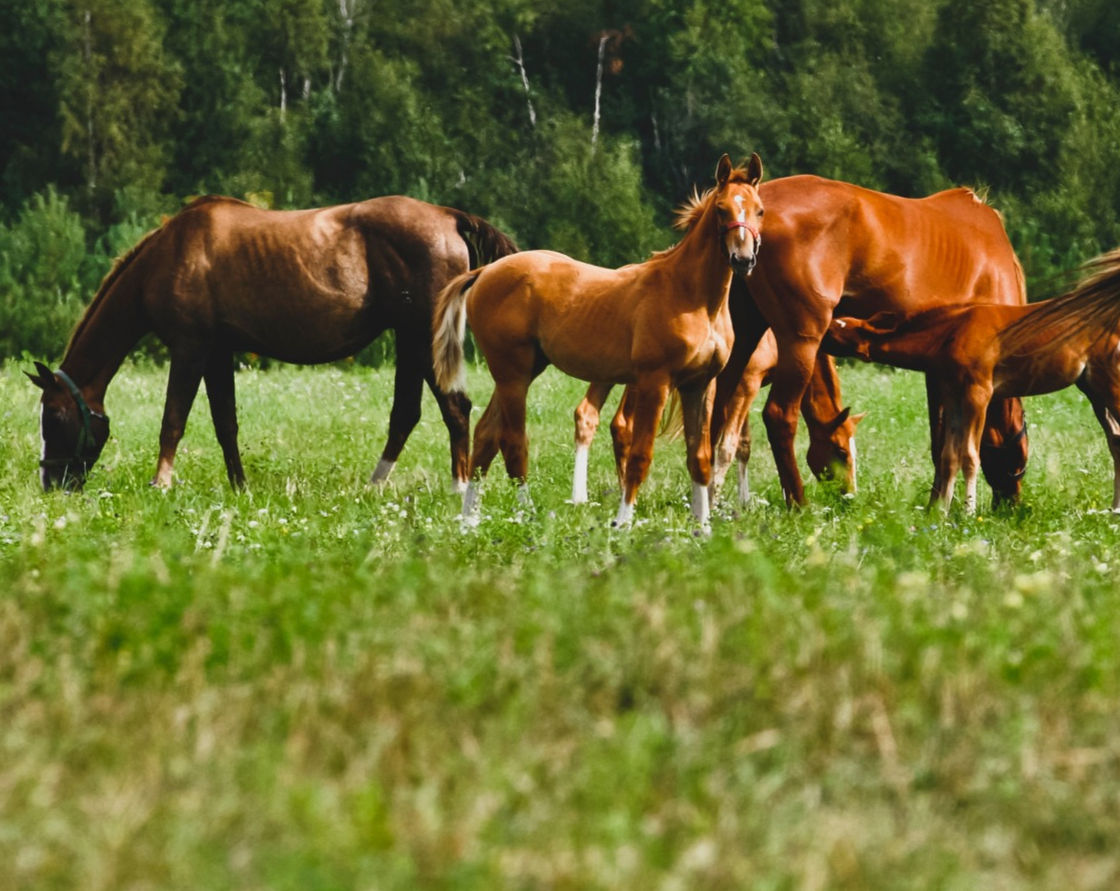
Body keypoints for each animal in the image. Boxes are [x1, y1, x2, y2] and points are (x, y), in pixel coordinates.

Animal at [25, 195, 517, 493]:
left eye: (55, 416)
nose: (52, 484)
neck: (171, 254)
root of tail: (449, 216)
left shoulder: (190, 348)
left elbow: (173, 420)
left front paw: (160, 483)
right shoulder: (218, 352)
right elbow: (225, 424)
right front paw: (239, 487)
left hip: (421, 338)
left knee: (454, 408)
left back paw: (458, 487)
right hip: (408, 339)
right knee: (407, 414)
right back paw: (375, 486)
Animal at [432, 153, 764, 527]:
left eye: (759, 210)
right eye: (722, 209)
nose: (743, 260)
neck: (691, 296)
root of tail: (485, 272)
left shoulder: (699, 385)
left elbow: (700, 458)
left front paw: (703, 527)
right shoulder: (656, 382)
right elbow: (640, 455)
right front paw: (623, 522)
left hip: (523, 370)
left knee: (486, 435)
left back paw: (469, 520)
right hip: (512, 374)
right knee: (513, 442)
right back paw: (525, 515)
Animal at [708, 176, 1031, 508]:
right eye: (1019, 457)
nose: (1011, 505)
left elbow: (940, 442)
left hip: (744, 335)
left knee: (717, 409)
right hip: (800, 341)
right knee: (779, 417)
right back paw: (798, 504)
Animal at [822, 247, 1120, 512]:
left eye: (838, 328)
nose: (819, 333)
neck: (953, 331)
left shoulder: (978, 394)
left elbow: (969, 454)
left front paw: (968, 512)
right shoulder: (955, 397)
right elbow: (949, 455)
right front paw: (941, 512)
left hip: (1110, 385)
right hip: (1094, 391)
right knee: (1115, 440)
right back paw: (1113, 509)